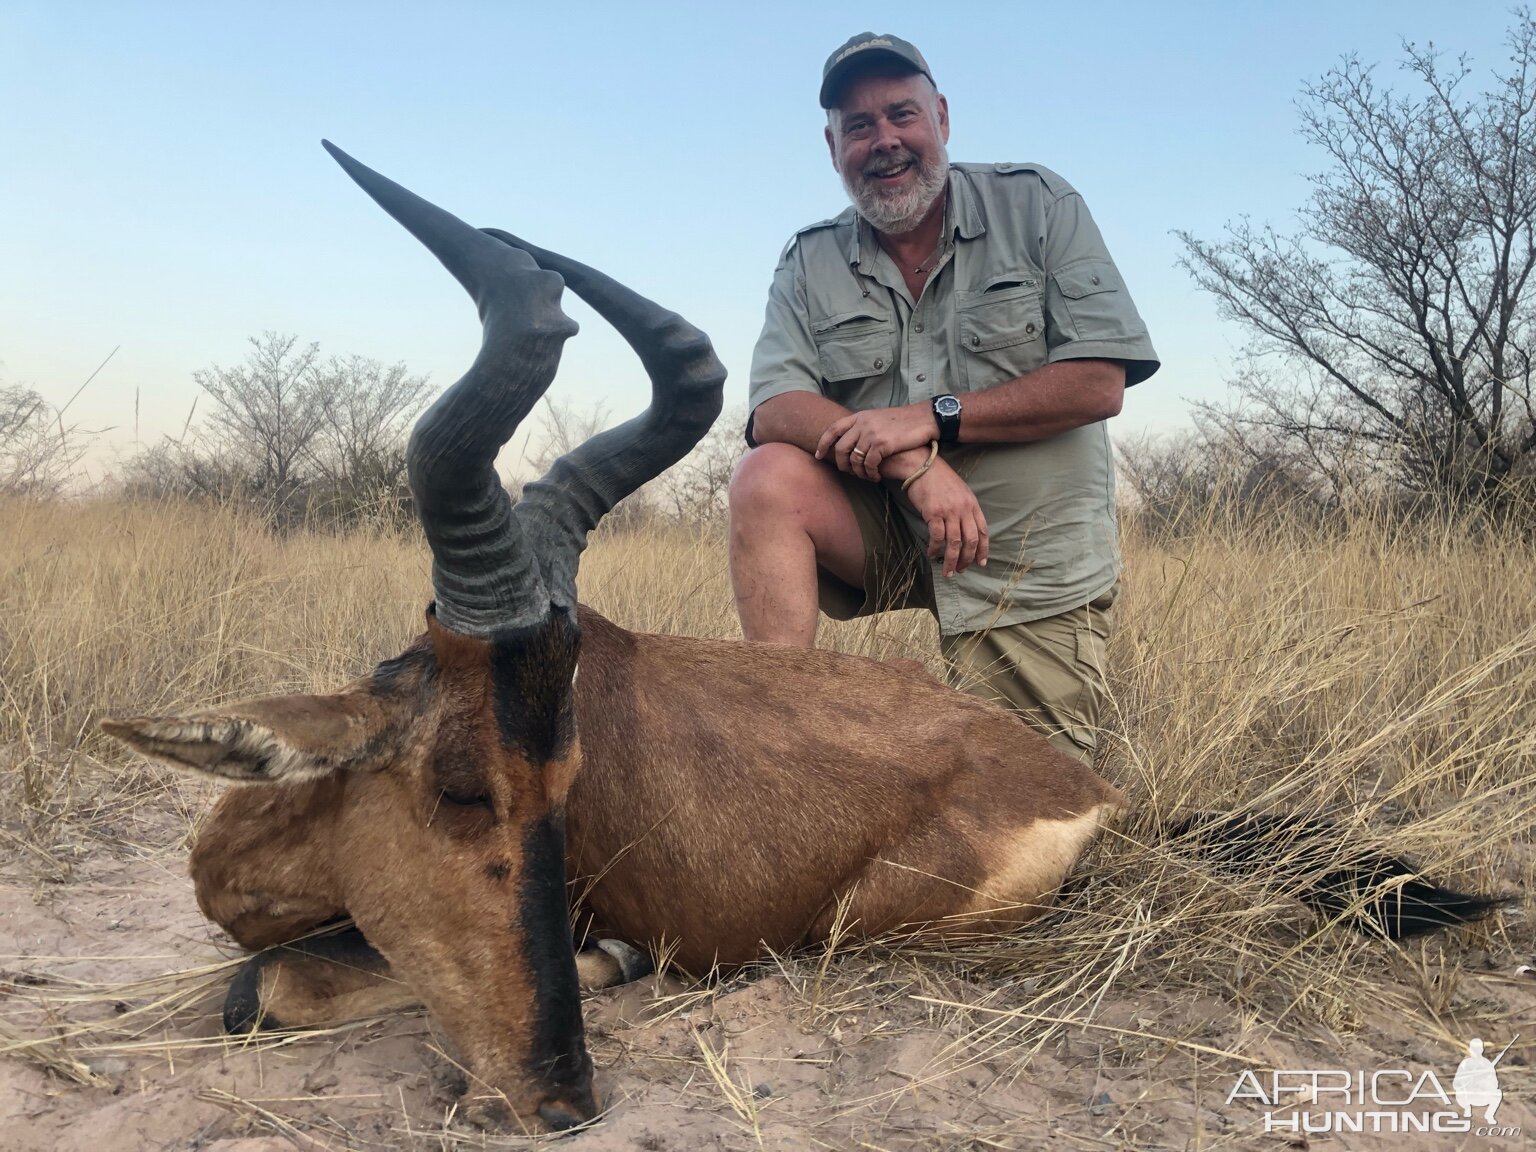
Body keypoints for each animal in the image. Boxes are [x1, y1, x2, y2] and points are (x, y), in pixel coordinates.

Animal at [99, 144, 1511, 1136]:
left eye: (566, 782)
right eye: (459, 786)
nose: (561, 1101)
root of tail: (1097, 790)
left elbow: (262, 989)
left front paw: (608, 964)